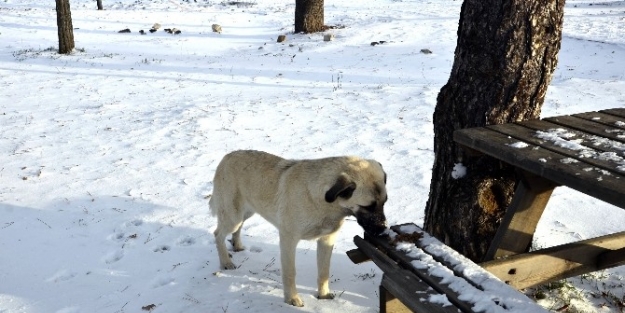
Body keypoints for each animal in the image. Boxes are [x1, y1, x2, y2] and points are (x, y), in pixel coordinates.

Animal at [210, 150, 386, 306]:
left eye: (384, 202)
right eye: (368, 207)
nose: (383, 230)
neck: (324, 202)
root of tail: (226, 157)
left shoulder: (326, 240)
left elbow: (324, 271)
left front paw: (323, 295)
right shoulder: (288, 240)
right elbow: (290, 273)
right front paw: (291, 299)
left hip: (246, 212)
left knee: (236, 230)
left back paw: (237, 246)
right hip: (234, 216)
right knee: (218, 234)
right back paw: (225, 262)